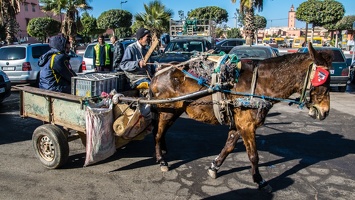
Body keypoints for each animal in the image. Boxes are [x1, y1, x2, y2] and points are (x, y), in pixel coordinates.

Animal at [149, 42, 332, 192]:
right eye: (322, 79)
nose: (324, 111)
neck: (258, 85)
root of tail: (159, 72)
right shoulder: (247, 126)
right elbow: (253, 155)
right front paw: (259, 180)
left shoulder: (239, 125)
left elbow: (229, 147)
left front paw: (214, 167)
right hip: (167, 111)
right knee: (157, 134)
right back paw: (161, 160)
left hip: (174, 112)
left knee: (160, 132)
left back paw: (163, 151)